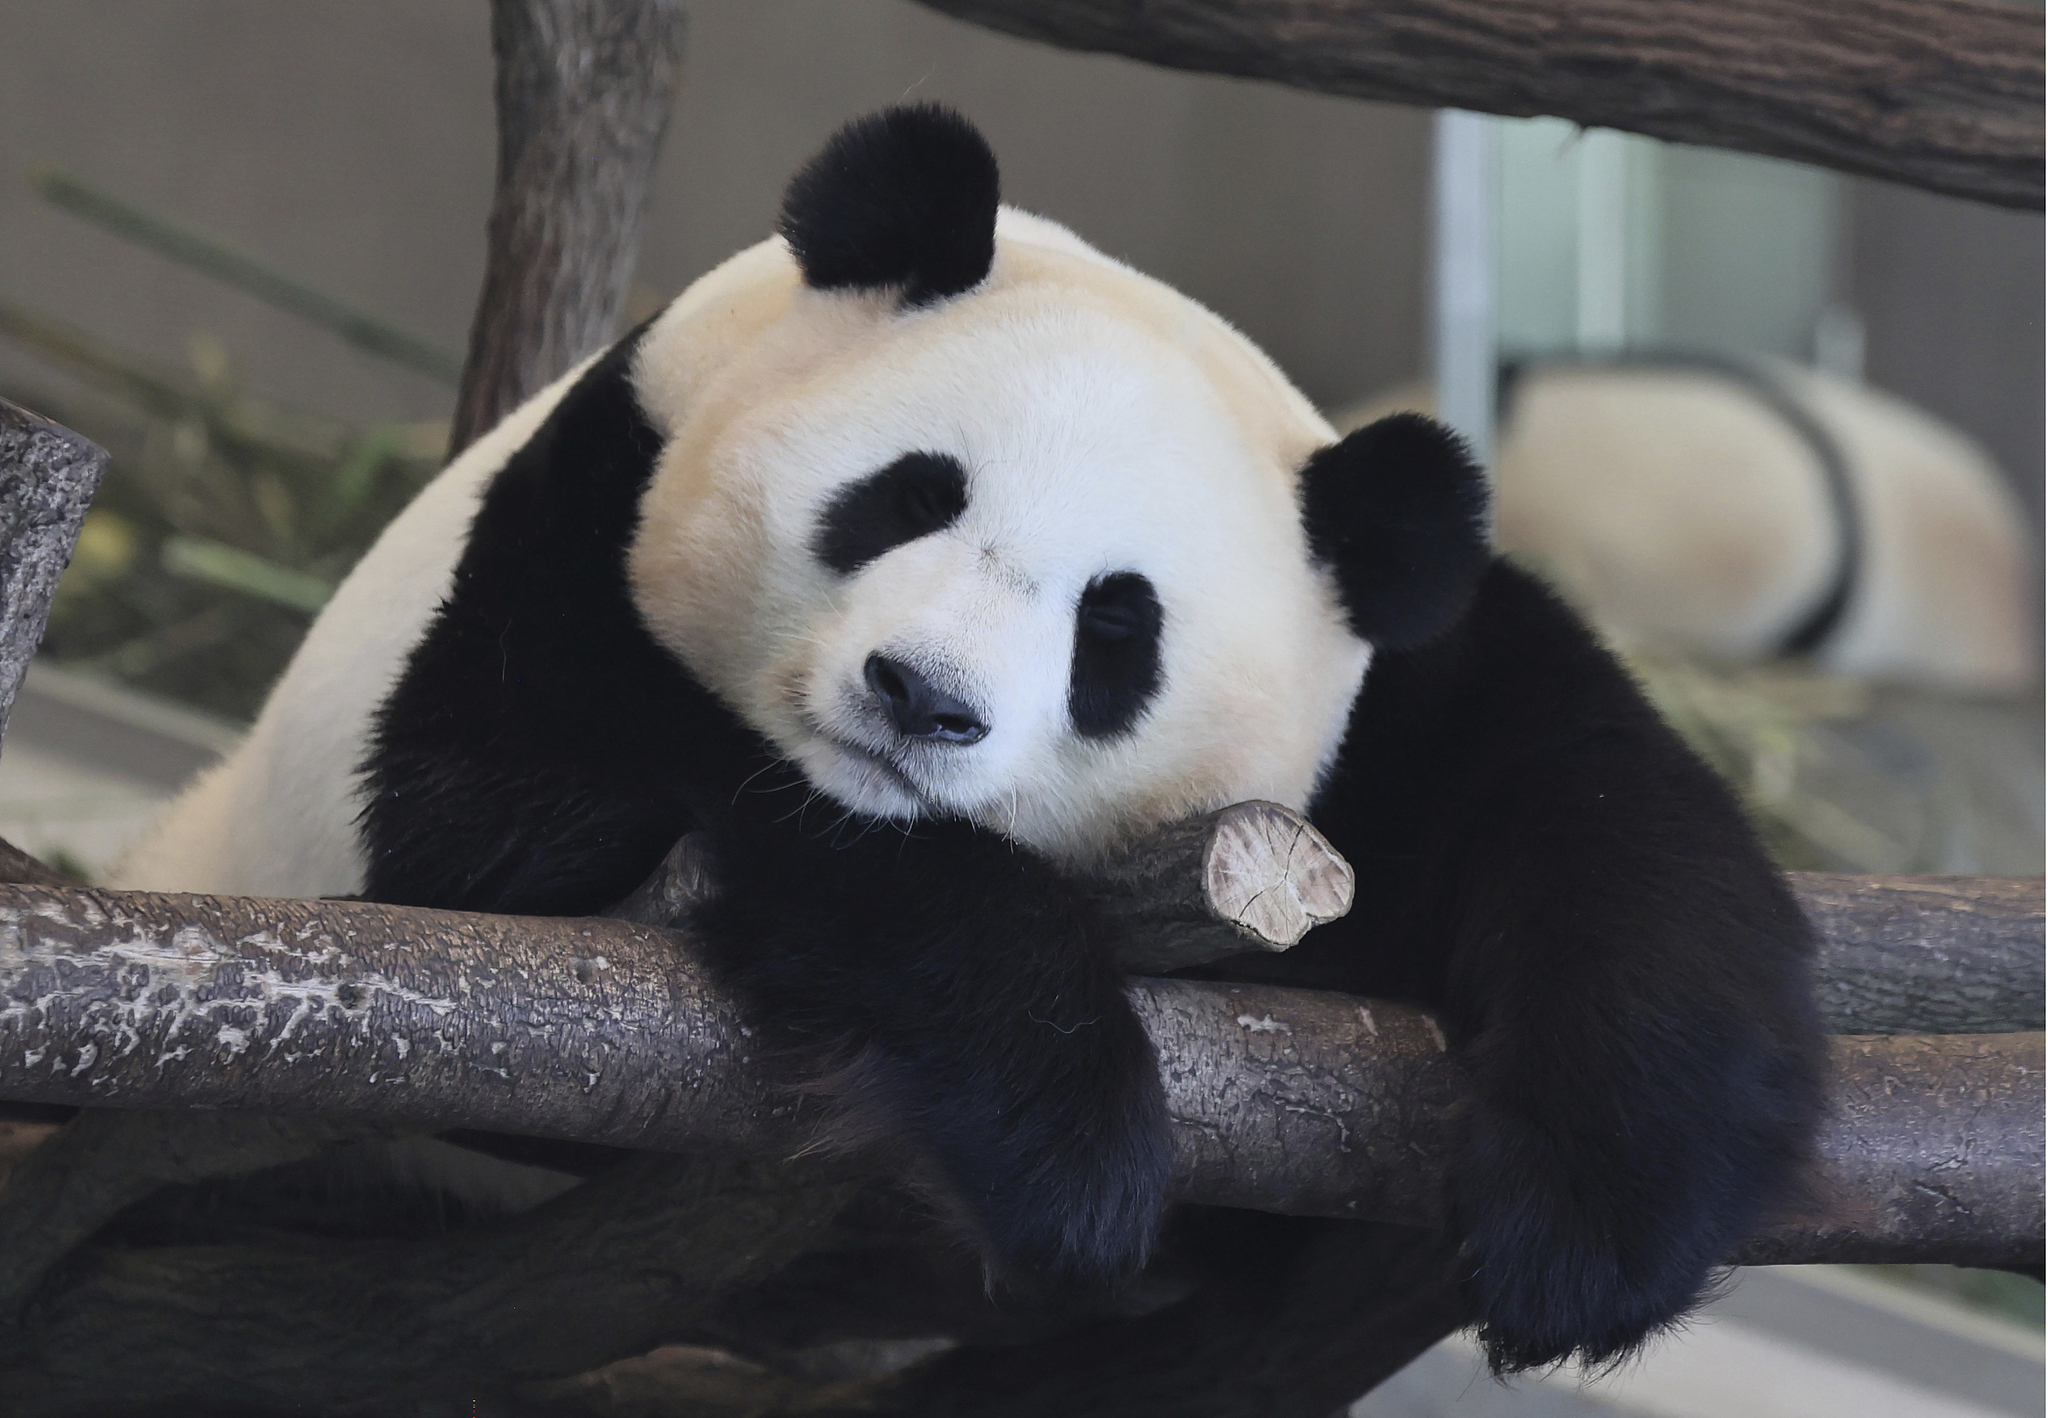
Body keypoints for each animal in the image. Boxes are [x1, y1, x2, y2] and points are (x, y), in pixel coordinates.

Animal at [114, 106, 1824, 1373]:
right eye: (905, 495)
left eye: (1118, 628)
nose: (920, 697)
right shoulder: (576, 524)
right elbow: (504, 833)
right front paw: (1064, 1123)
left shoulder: (1397, 681)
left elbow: (1593, 802)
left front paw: (1592, 1219)